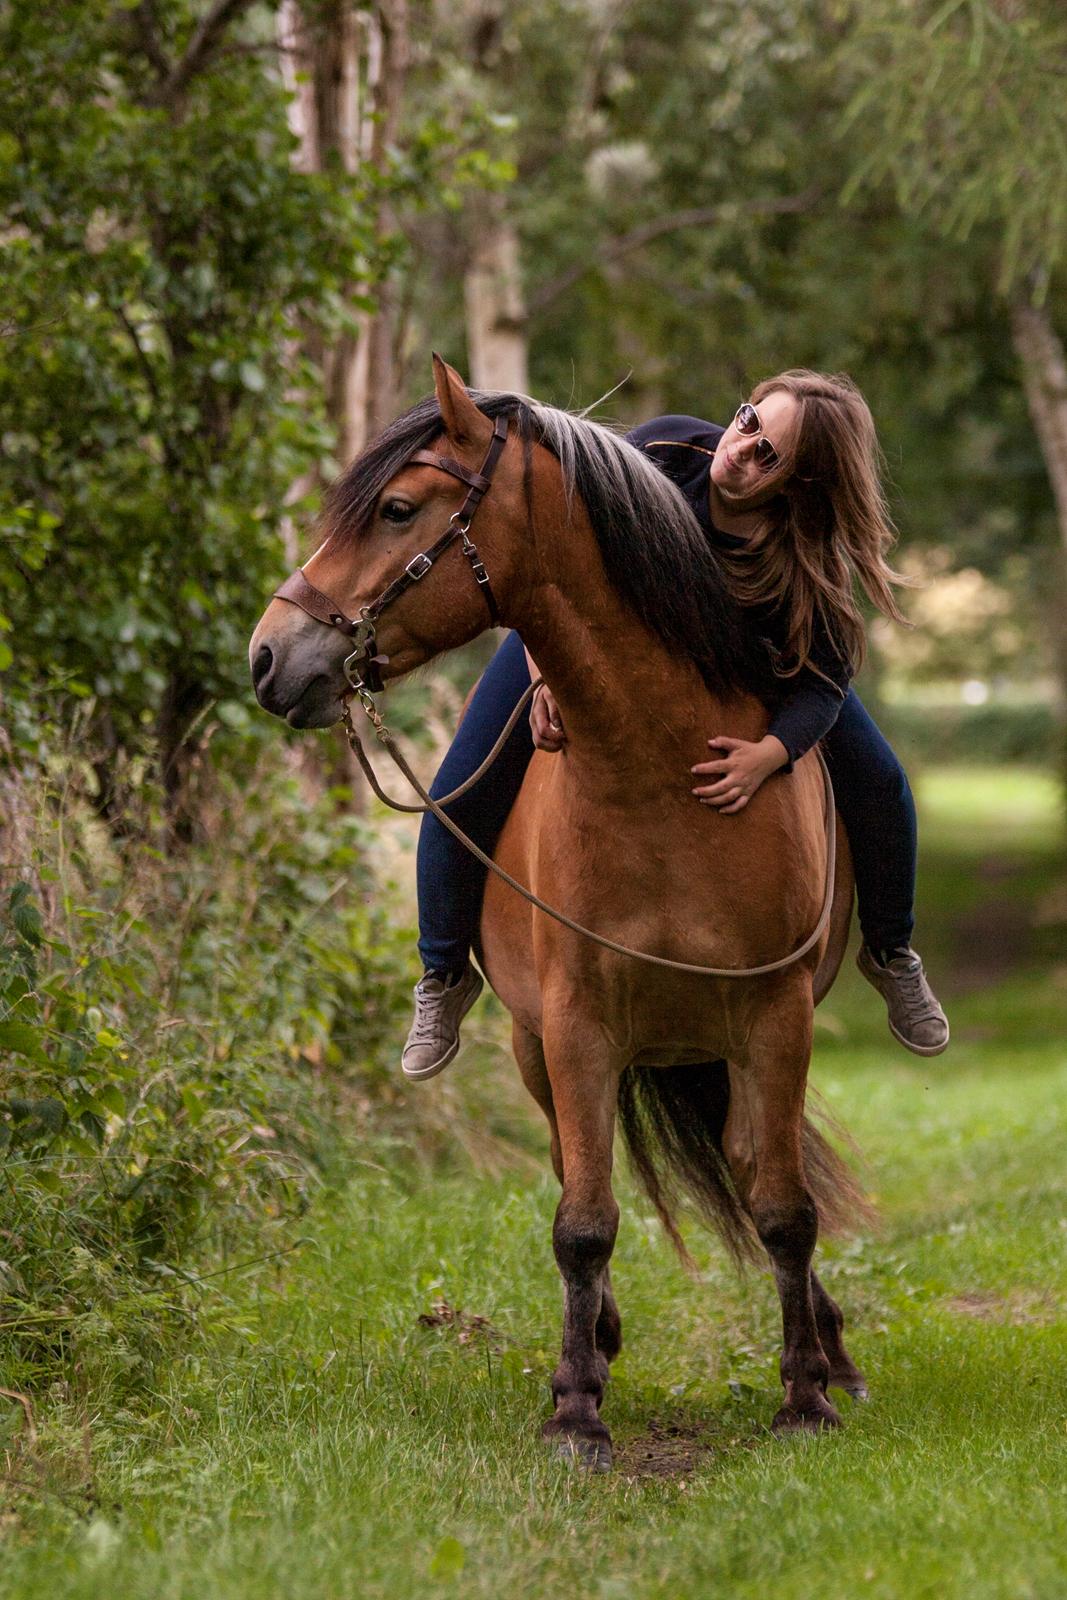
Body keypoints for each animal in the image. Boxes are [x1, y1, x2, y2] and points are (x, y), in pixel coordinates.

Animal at [251, 356, 870, 1465]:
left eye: (398, 508)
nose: (268, 657)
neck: (659, 769)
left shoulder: (776, 1018)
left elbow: (785, 1209)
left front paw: (805, 1394)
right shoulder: (578, 1027)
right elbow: (582, 1222)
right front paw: (575, 1406)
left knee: (754, 1166)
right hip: (535, 1047)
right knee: (570, 1173)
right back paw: (601, 1339)